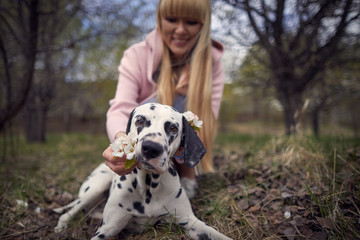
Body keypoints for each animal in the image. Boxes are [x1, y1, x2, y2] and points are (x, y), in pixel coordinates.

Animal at [54, 103, 232, 240]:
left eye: (173, 128)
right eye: (140, 121)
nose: (151, 148)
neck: (148, 187)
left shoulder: (191, 222)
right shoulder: (106, 230)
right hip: (95, 188)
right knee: (68, 212)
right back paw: (60, 228)